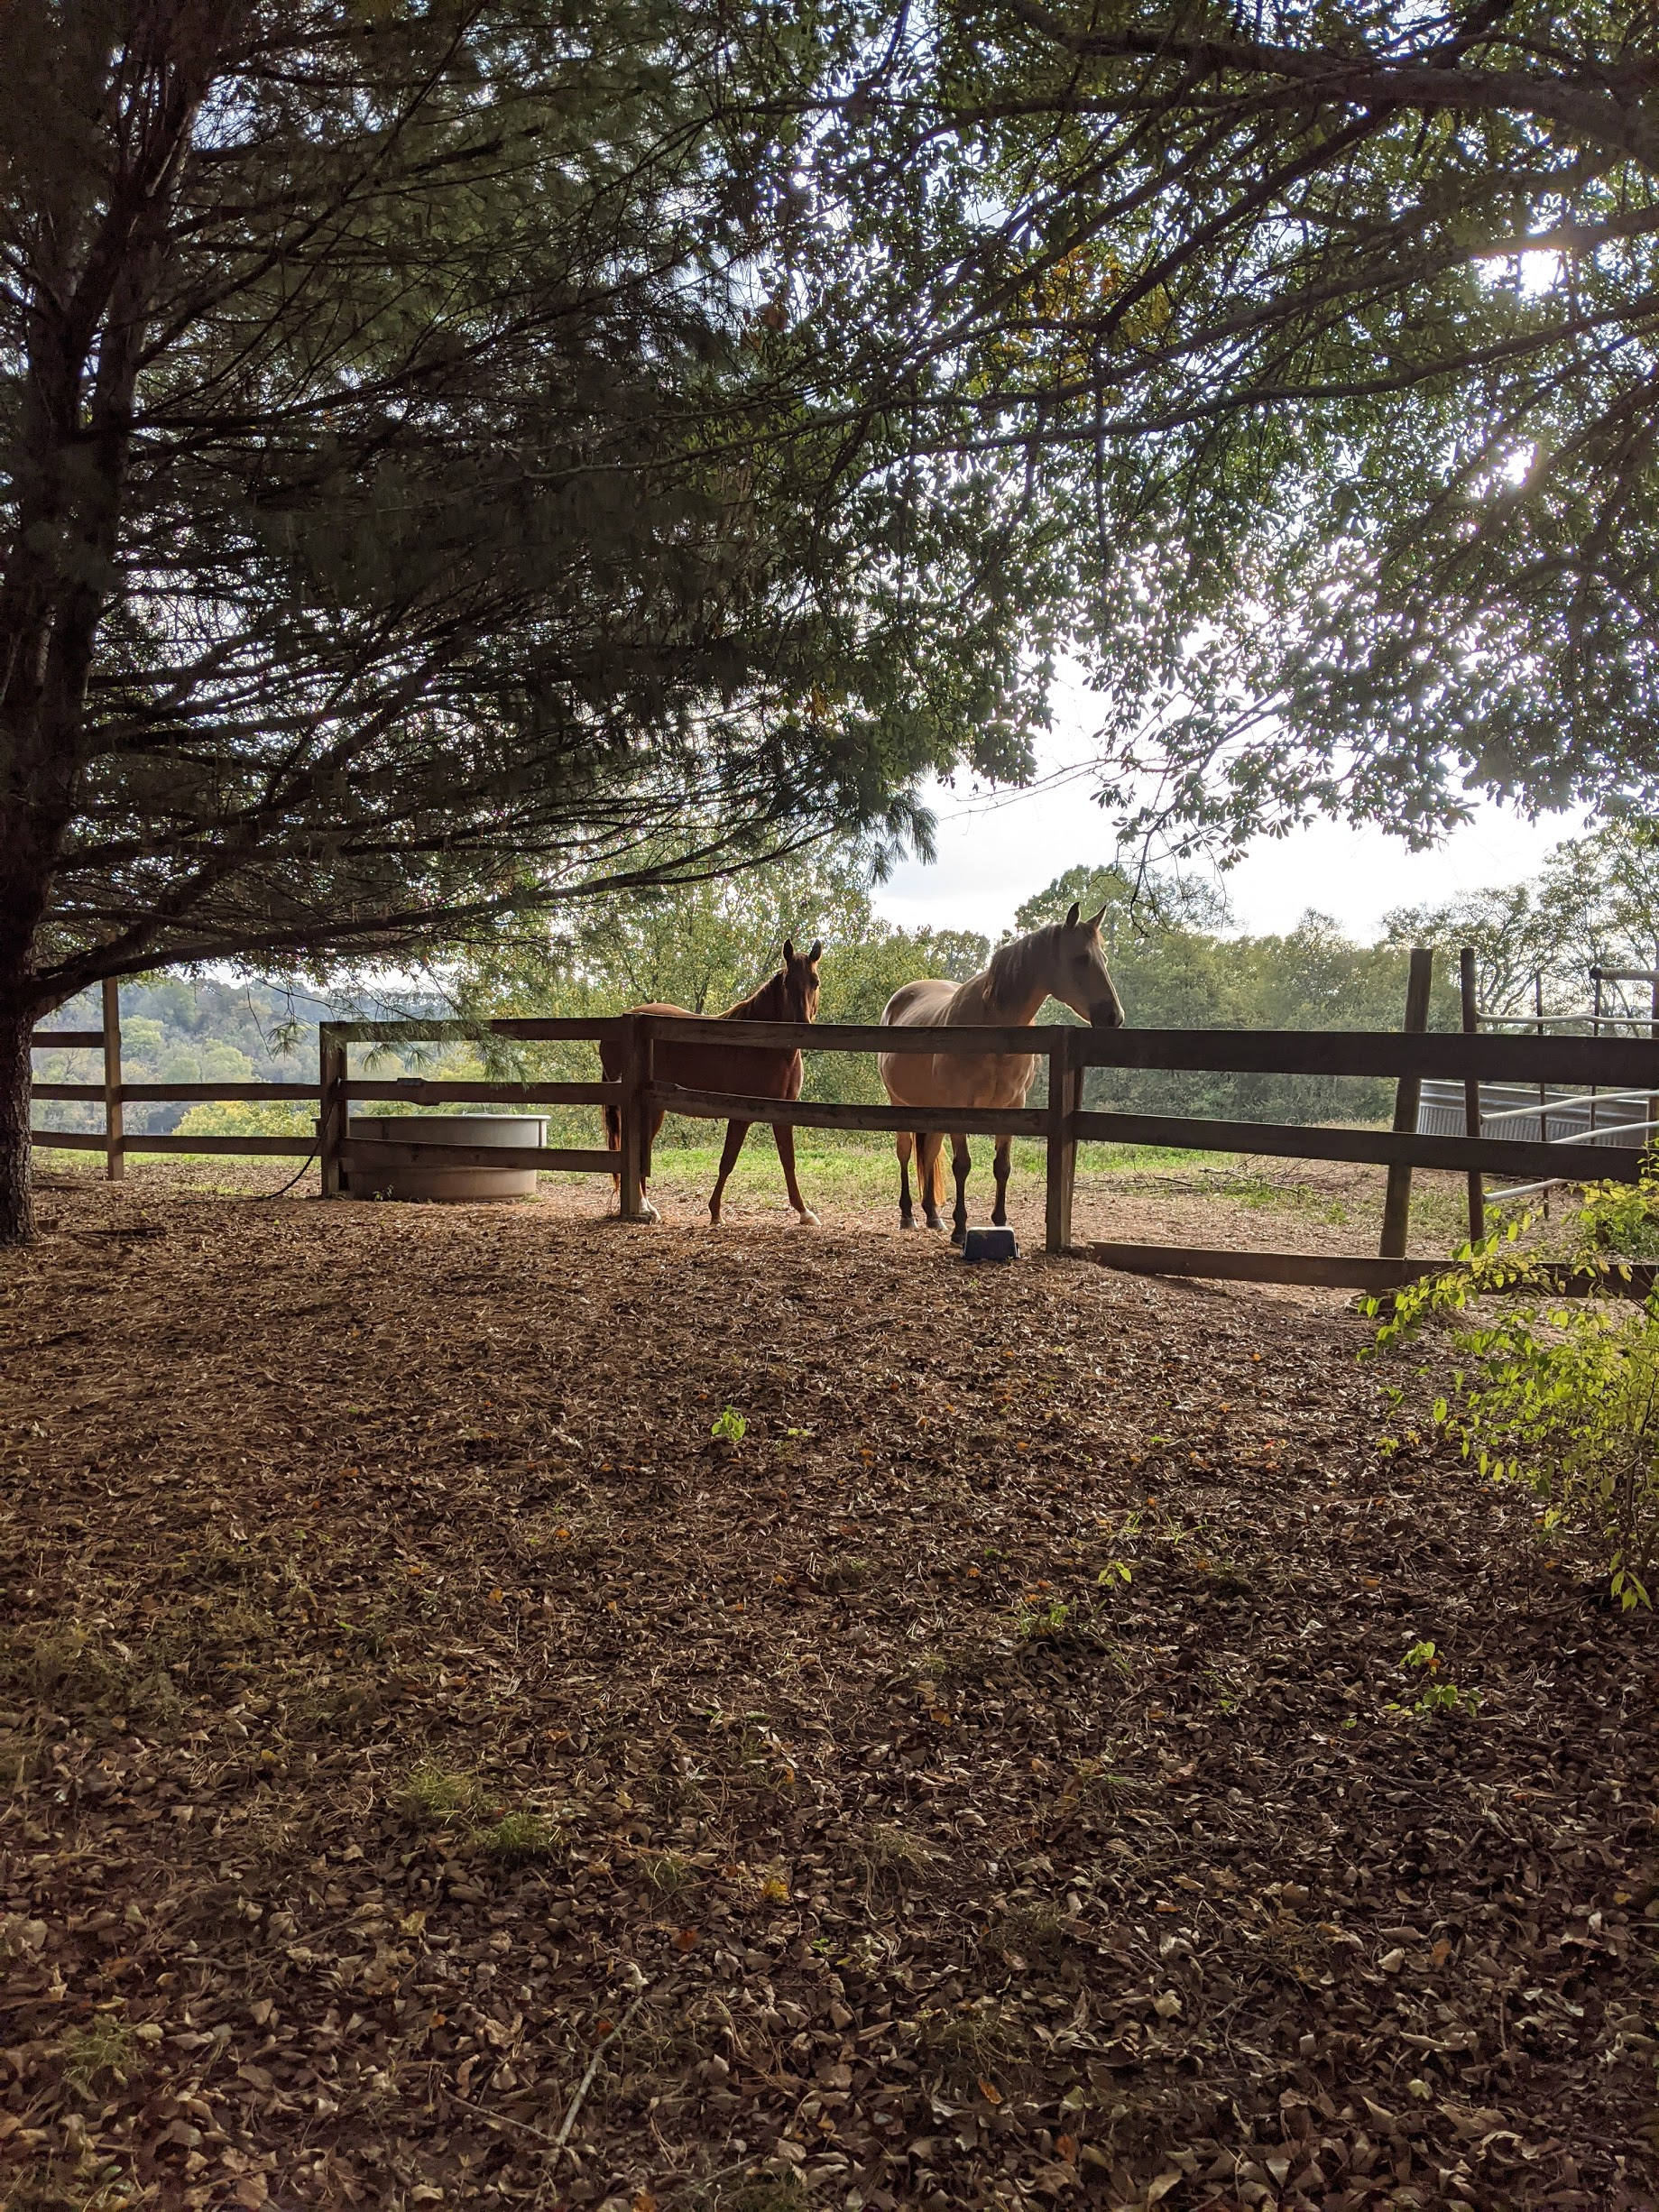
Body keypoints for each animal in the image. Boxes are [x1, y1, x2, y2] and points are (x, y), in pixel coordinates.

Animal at [600, 940, 822, 1226]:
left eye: (815, 982)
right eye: (787, 983)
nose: (802, 1028)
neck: (763, 1044)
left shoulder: (782, 1112)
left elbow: (788, 1161)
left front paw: (804, 1212)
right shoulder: (741, 1114)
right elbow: (728, 1161)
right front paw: (716, 1212)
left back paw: (648, 1207)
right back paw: (645, 1207)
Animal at [877, 901, 1123, 1241]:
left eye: (1104, 958)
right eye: (1081, 958)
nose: (1114, 1016)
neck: (993, 1027)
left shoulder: (1012, 1105)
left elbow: (1002, 1166)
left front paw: (999, 1221)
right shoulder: (960, 1109)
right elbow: (962, 1165)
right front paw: (961, 1228)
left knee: (929, 1152)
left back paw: (933, 1215)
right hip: (900, 1103)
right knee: (904, 1152)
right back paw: (907, 1215)